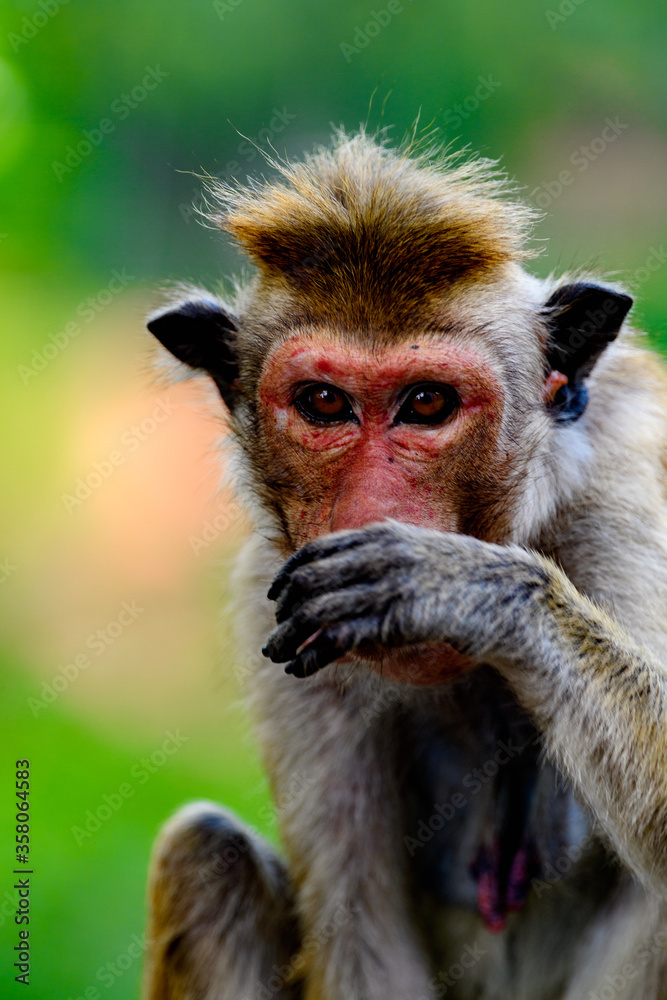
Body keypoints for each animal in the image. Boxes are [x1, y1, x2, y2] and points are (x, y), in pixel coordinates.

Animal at [142, 130, 667, 999]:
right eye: (323, 403)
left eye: (427, 403)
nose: (370, 509)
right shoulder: (274, 594)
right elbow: (363, 947)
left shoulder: (621, 505)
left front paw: (461, 587)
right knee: (204, 851)